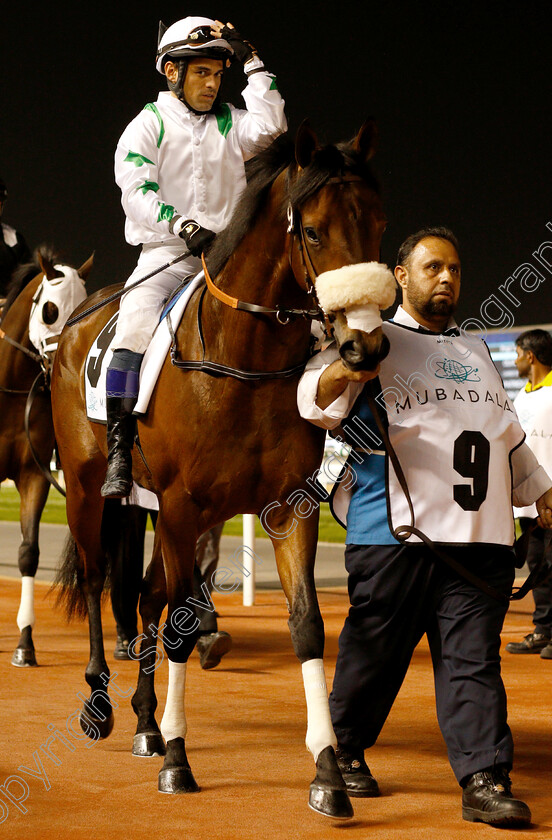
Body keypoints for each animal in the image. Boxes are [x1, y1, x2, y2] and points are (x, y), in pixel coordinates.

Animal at [48, 124, 392, 820]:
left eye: (377, 224)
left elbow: (307, 627)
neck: (243, 362)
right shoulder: (183, 508)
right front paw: (179, 763)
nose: (364, 345)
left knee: (146, 595)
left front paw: (328, 775)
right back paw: (99, 704)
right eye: (313, 231)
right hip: (90, 490)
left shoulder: (286, 508)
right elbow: (180, 628)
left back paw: (145, 723)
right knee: (99, 581)